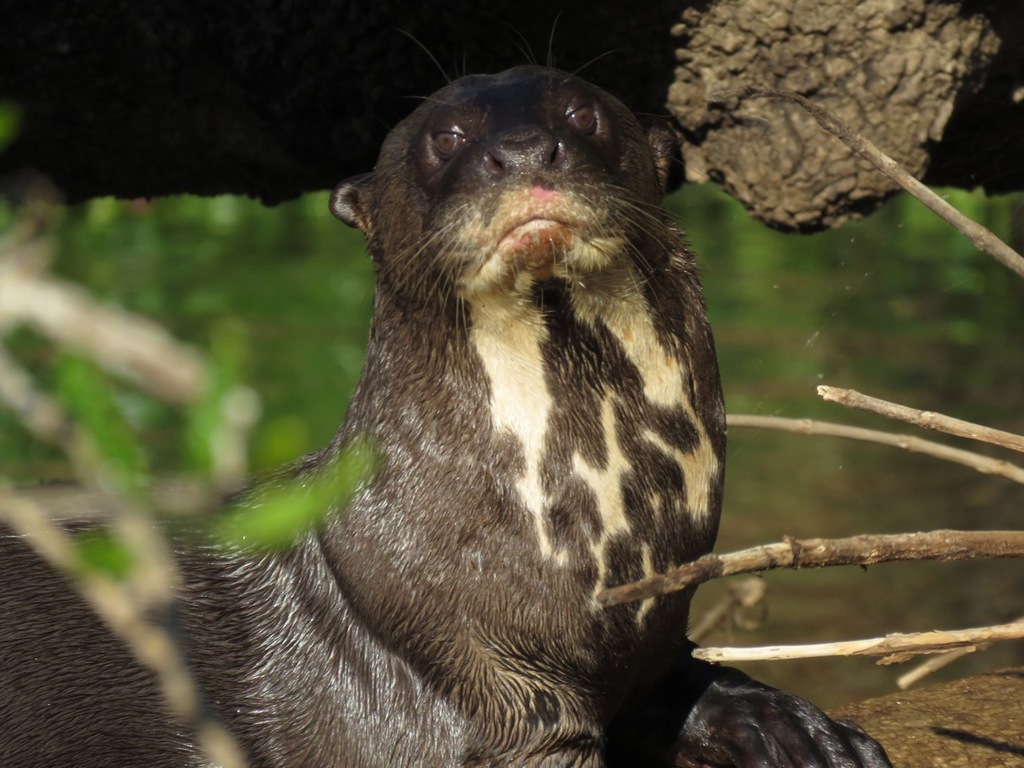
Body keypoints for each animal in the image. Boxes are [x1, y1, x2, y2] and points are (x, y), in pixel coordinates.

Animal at [0, 66, 890, 767]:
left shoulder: (653, 630)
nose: (524, 150)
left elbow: (686, 676)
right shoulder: (479, 686)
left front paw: (793, 727)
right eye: (446, 136)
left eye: (582, 113)